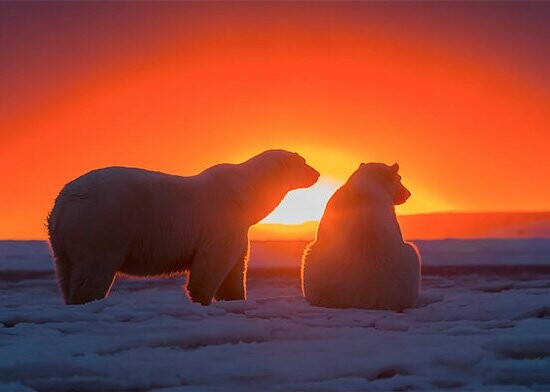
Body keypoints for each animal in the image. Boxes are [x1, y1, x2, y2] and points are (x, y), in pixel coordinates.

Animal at [50, 150, 324, 306]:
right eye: (303, 162)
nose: (317, 173)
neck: (247, 194)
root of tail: (63, 202)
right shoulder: (221, 221)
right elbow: (212, 264)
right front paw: (202, 300)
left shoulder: (239, 228)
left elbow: (236, 266)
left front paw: (236, 298)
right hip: (103, 225)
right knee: (94, 269)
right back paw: (87, 301)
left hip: (62, 243)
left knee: (66, 271)